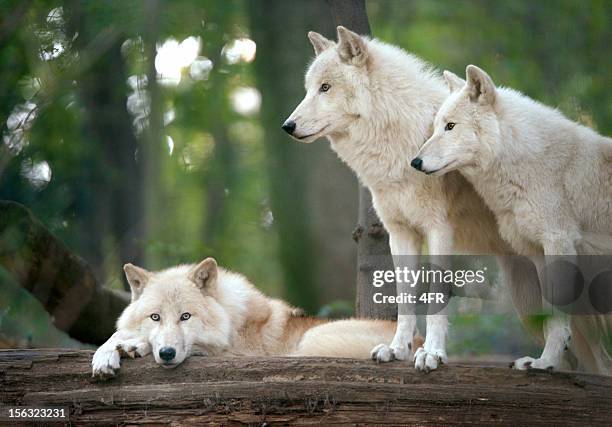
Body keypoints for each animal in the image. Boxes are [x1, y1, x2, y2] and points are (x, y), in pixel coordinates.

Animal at [91, 258, 408, 378]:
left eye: (185, 316)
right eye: (155, 317)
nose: (167, 353)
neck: (232, 319)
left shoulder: (239, 353)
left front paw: (135, 345)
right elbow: (116, 334)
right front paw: (106, 354)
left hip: (313, 339)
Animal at [282, 27, 524, 374]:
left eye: (325, 87)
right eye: (308, 89)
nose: (287, 126)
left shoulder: (439, 230)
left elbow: (436, 296)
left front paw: (432, 353)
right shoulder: (400, 233)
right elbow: (404, 298)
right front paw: (397, 349)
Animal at [414, 64, 608, 374]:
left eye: (450, 126)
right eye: (435, 128)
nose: (415, 162)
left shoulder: (558, 241)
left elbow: (557, 321)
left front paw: (545, 364)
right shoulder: (538, 252)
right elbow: (550, 319)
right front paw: (546, 361)